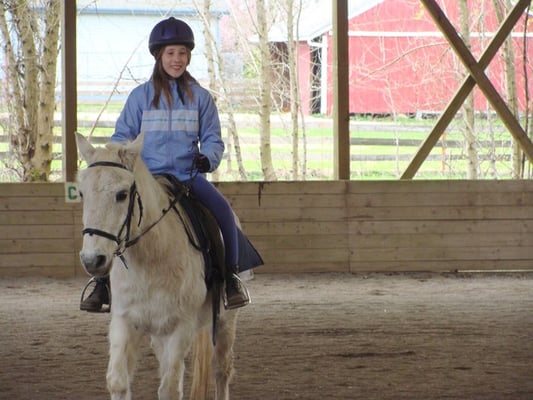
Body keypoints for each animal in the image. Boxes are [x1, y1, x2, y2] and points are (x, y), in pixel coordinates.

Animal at [76, 132, 237, 400]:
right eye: (81, 194)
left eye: (122, 194)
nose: (92, 260)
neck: (152, 259)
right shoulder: (124, 321)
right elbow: (118, 382)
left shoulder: (181, 327)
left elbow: (169, 388)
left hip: (225, 321)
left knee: (221, 370)